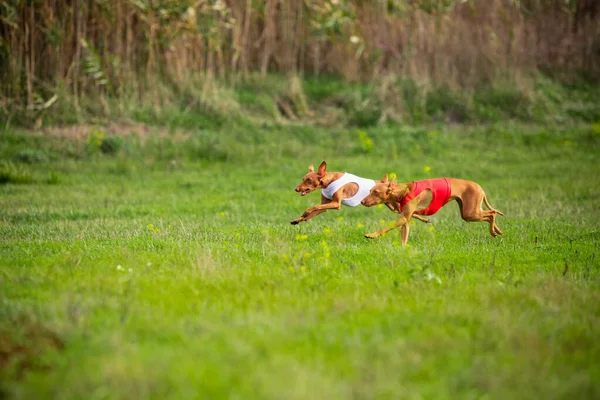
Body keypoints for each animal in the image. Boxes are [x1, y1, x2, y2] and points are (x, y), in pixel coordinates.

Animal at [358, 174, 504, 244]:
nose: (362, 201)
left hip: (470, 213)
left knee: (492, 213)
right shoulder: (406, 220)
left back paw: (493, 231)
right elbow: (404, 238)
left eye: (376, 192)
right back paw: (497, 230)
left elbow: (386, 227)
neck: (404, 191)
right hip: (469, 212)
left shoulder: (403, 217)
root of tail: (479, 187)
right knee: (490, 214)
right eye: (370, 191)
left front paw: (371, 235)